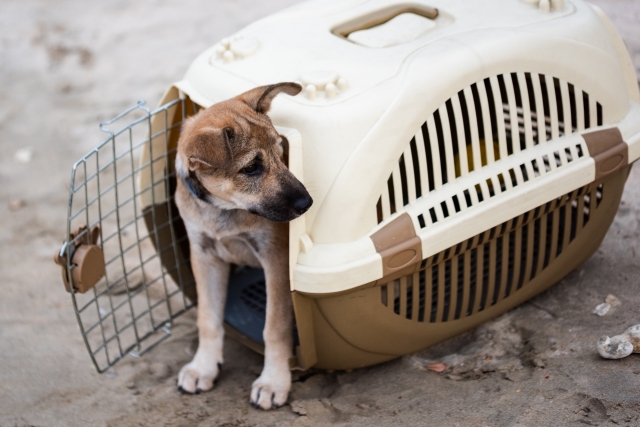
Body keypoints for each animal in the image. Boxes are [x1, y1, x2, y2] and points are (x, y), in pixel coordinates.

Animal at [172, 82, 312, 410]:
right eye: (251, 168)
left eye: (281, 152)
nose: (307, 203)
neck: (224, 210)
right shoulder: (205, 256)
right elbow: (207, 318)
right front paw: (203, 367)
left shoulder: (275, 259)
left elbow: (274, 326)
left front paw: (273, 381)